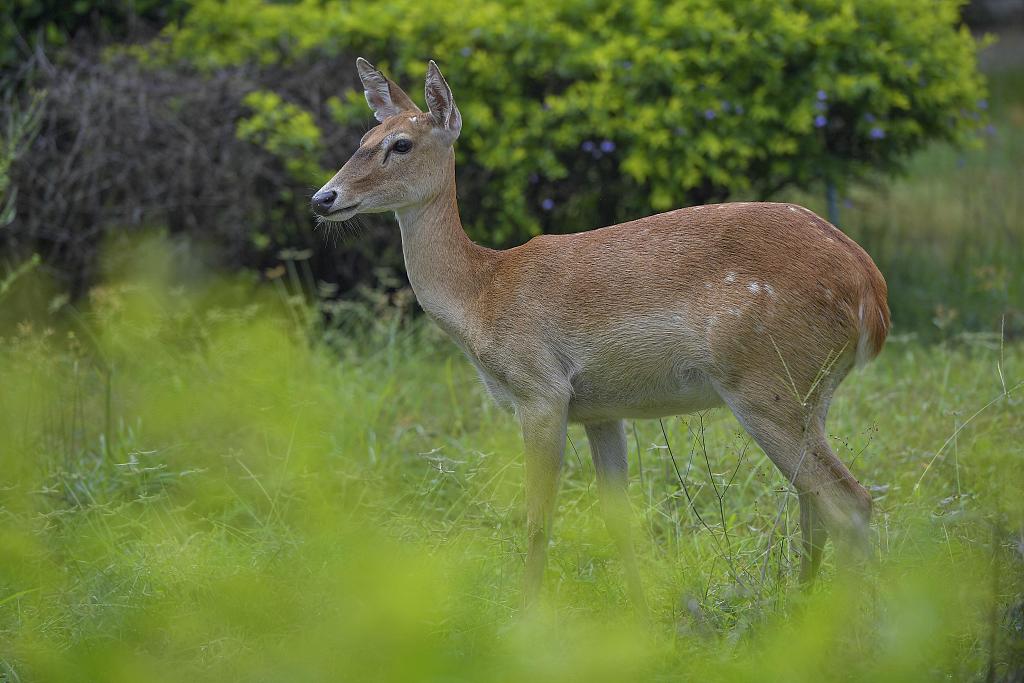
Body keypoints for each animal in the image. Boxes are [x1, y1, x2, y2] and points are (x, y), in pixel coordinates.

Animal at [309, 58, 888, 610]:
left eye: (400, 144)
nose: (323, 198)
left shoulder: (540, 390)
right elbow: (619, 521)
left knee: (849, 503)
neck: (483, 296)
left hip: (764, 381)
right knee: (814, 505)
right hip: (809, 392)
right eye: (363, 139)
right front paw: (641, 615)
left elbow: (537, 518)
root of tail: (872, 294)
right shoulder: (601, 409)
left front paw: (525, 618)